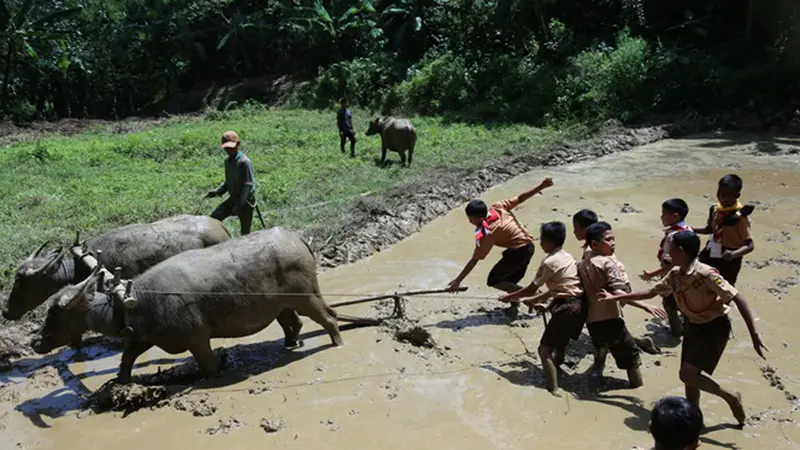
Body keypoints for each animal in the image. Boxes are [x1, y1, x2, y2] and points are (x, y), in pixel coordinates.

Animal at [31, 227, 342, 382]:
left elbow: (209, 367)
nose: (35, 342)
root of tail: (296, 237)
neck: (133, 301)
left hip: (307, 296)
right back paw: (290, 344)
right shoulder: (145, 336)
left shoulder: (197, 339)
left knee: (329, 316)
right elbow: (128, 356)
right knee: (294, 323)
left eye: (56, 313)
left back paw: (337, 342)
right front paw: (120, 381)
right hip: (283, 304)